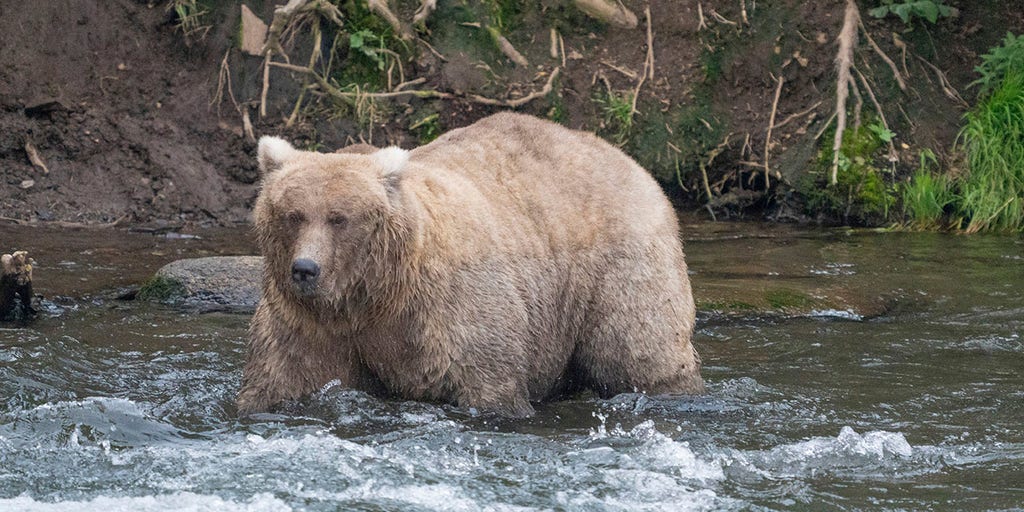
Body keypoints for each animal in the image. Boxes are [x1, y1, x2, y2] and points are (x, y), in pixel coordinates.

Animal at [237, 112, 703, 417]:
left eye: (339, 218)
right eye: (293, 214)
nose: (305, 269)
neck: (374, 294)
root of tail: (627, 159)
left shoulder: (449, 308)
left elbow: (486, 380)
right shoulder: (310, 322)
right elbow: (284, 376)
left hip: (618, 266)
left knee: (639, 349)